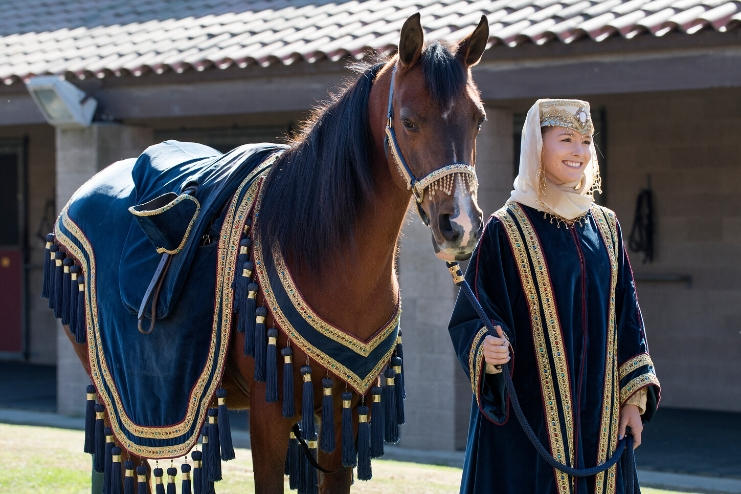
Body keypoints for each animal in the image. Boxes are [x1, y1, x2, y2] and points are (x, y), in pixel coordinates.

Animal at [62, 13, 492, 492]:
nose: (461, 225)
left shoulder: (344, 407)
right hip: (117, 400)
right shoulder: (268, 414)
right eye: (409, 121)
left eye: (478, 120)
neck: (326, 256)